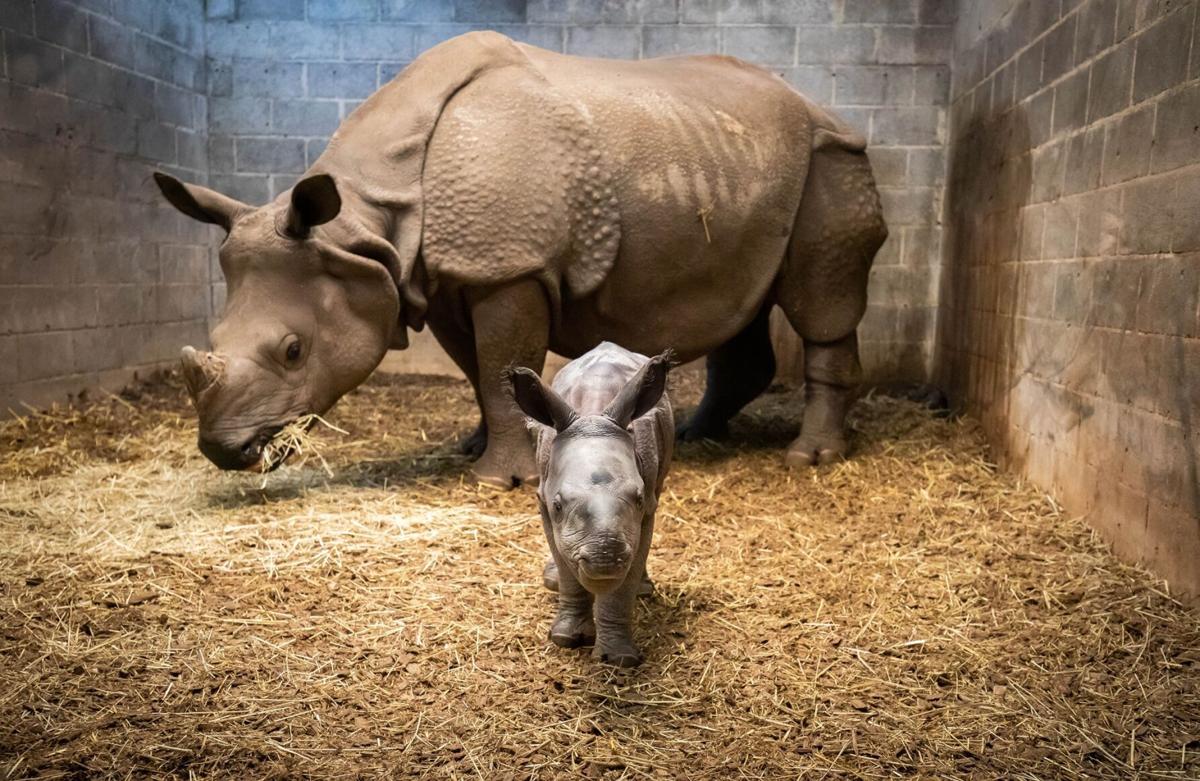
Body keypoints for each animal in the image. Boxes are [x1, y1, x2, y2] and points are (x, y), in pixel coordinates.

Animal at [155, 31, 887, 486]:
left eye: (293, 351)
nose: (223, 449)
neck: (365, 222)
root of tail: (824, 107)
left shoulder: (508, 265)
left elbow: (502, 361)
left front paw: (496, 480)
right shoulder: (445, 274)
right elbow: (479, 371)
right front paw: (475, 448)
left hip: (832, 159)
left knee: (820, 300)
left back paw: (809, 458)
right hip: (735, 159)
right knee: (744, 297)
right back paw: (700, 434)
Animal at [506, 343, 673, 666]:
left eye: (638, 499)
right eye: (558, 505)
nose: (605, 559)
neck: (592, 416)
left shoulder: (647, 504)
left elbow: (625, 579)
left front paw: (618, 658)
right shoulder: (545, 502)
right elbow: (566, 565)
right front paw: (565, 638)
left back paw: (644, 590)